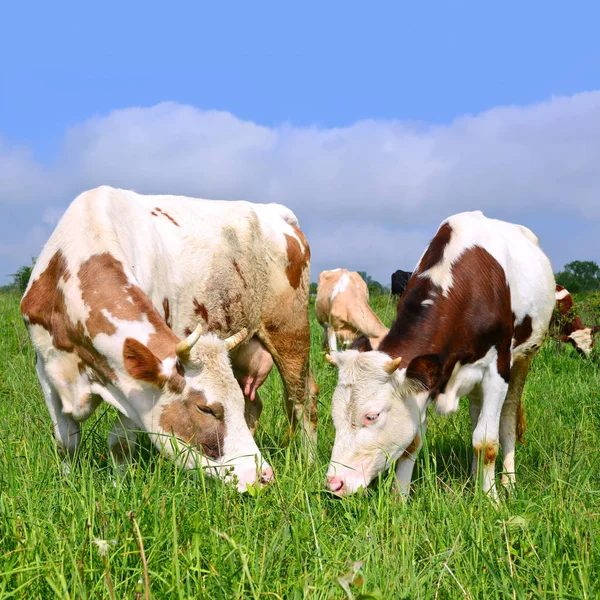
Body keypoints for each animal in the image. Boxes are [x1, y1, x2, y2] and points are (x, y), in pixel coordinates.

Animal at [20, 185, 316, 490]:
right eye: (206, 409)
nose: (263, 475)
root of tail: (273, 211)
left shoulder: (134, 383)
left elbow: (119, 443)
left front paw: (118, 488)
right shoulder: (45, 369)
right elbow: (66, 442)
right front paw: (67, 483)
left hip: (291, 333)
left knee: (303, 399)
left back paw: (308, 462)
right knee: (257, 403)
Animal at [326, 213, 556, 500]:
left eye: (372, 416)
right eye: (334, 415)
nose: (334, 483)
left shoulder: (497, 368)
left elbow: (487, 442)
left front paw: (491, 500)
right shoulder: (426, 378)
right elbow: (413, 441)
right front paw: (399, 500)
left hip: (524, 358)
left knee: (507, 419)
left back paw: (508, 482)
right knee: (476, 417)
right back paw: (473, 477)